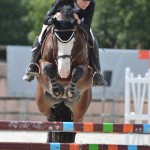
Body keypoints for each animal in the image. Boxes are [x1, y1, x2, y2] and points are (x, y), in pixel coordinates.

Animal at [35, 5, 93, 142]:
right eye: (55, 39)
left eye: (74, 40)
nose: (64, 71)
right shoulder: (42, 62)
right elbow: (49, 67)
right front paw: (56, 90)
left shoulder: (86, 67)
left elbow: (78, 71)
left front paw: (71, 91)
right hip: (42, 103)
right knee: (50, 117)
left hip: (79, 110)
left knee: (74, 122)